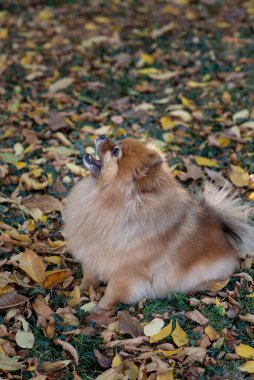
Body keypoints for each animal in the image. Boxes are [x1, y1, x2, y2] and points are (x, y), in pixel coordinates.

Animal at [62, 135, 253, 316]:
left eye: (116, 151)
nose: (102, 135)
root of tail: (223, 231)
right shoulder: (92, 255)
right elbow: (88, 278)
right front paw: (78, 293)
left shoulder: (126, 274)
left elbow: (111, 293)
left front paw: (98, 312)